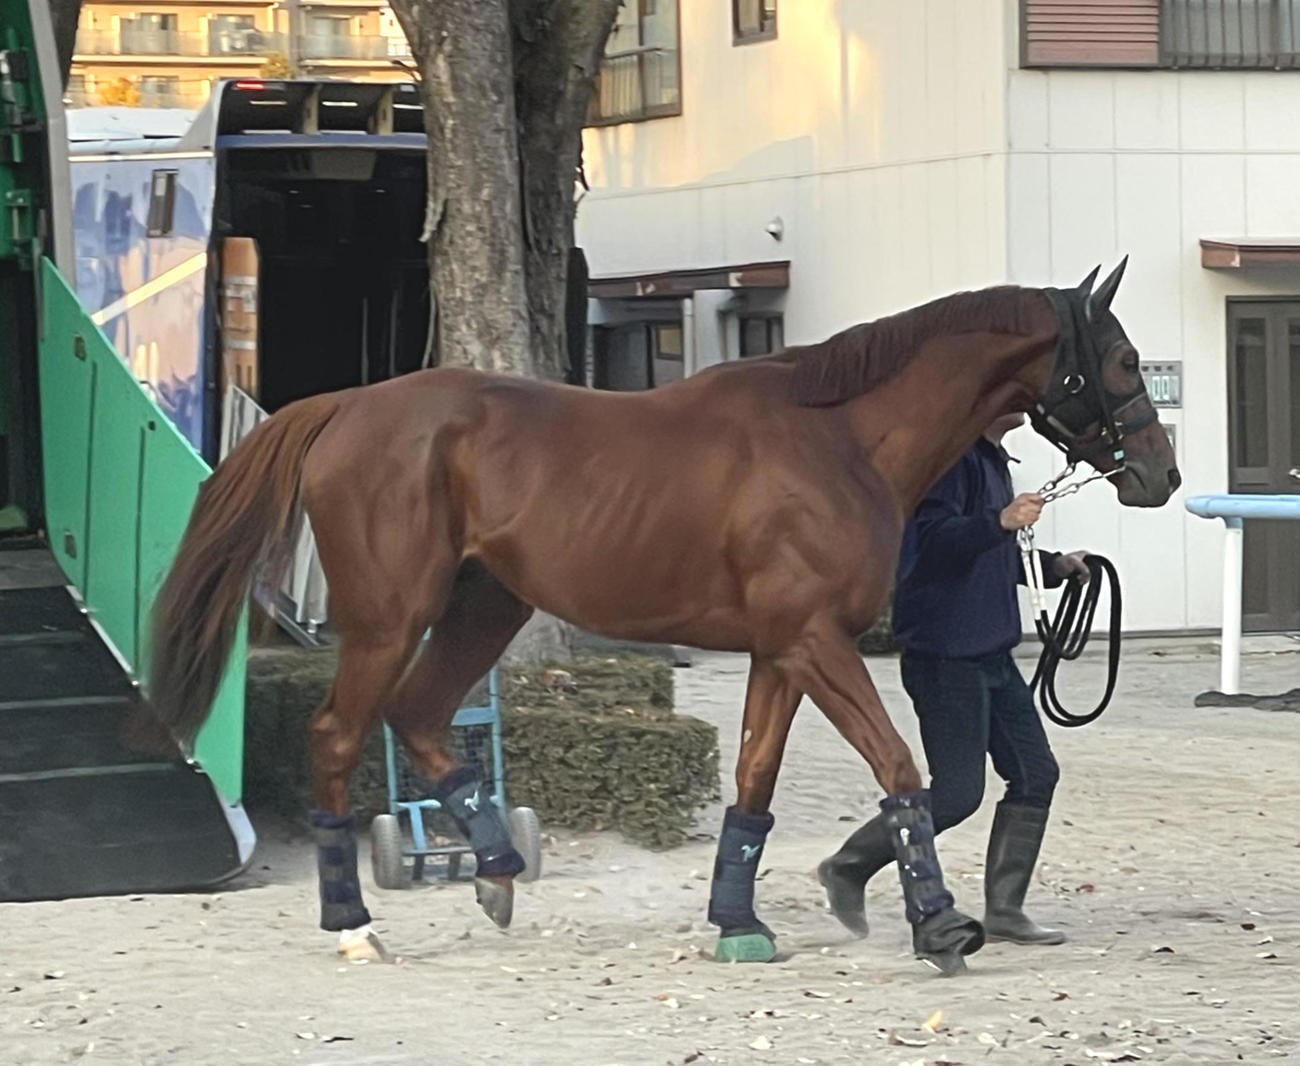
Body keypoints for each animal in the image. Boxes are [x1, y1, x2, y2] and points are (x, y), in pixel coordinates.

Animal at [143, 259, 1178, 975]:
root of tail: (347, 406)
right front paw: (941, 925)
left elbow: (755, 781)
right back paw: (354, 926)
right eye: (1124, 359)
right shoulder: (817, 642)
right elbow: (900, 769)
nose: (1161, 474)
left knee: (424, 718)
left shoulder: (780, 652)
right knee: (337, 734)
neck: (837, 437)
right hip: (389, 622)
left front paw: (739, 923)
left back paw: (495, 871)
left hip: (487, 608)